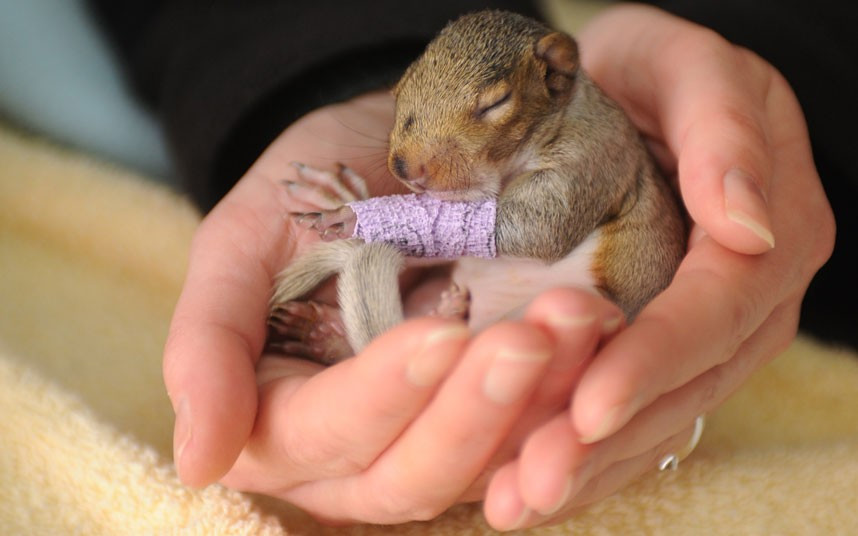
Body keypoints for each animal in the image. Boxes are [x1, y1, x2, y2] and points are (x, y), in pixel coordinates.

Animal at [267, 10, 686, 364]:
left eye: (497, 102)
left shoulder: (591, 161)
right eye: (399, 85)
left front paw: (352, 217)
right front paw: (350, 207)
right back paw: (324, 333)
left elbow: (542, 229)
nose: (405, 167)